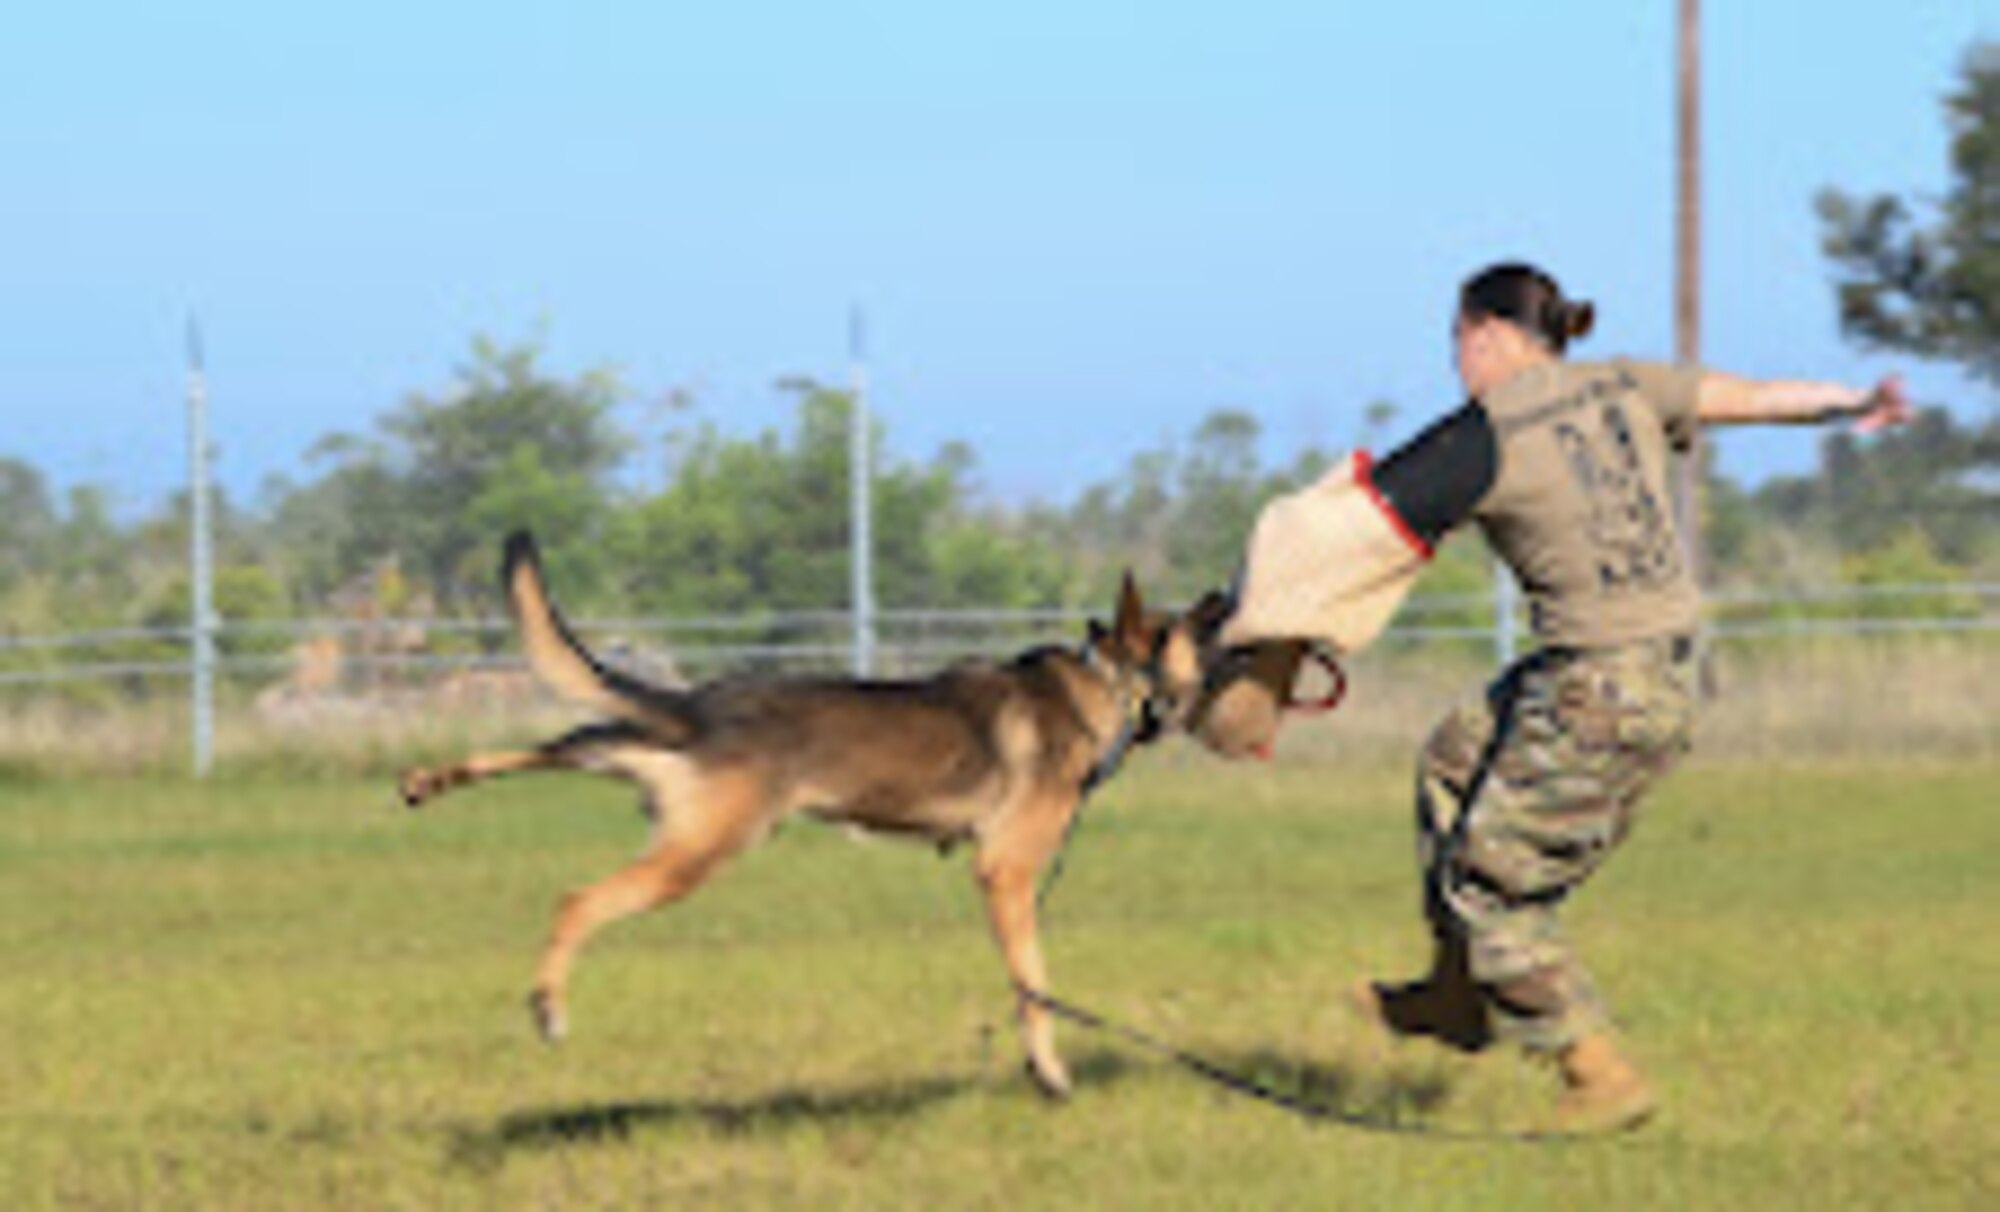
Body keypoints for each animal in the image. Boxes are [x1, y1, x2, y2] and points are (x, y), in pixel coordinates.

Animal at [396, 536, 1168, 1104]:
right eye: (1188, 628)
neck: (1099, 683)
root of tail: (698, 708)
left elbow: (1027, 983)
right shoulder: (1005, 873)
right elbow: (1034, 985)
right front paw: (1051, 1073)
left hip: (629, 758)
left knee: (549, 746)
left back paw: (428, 781)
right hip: (694, 853)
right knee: (576, 901)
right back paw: (548, 1004)